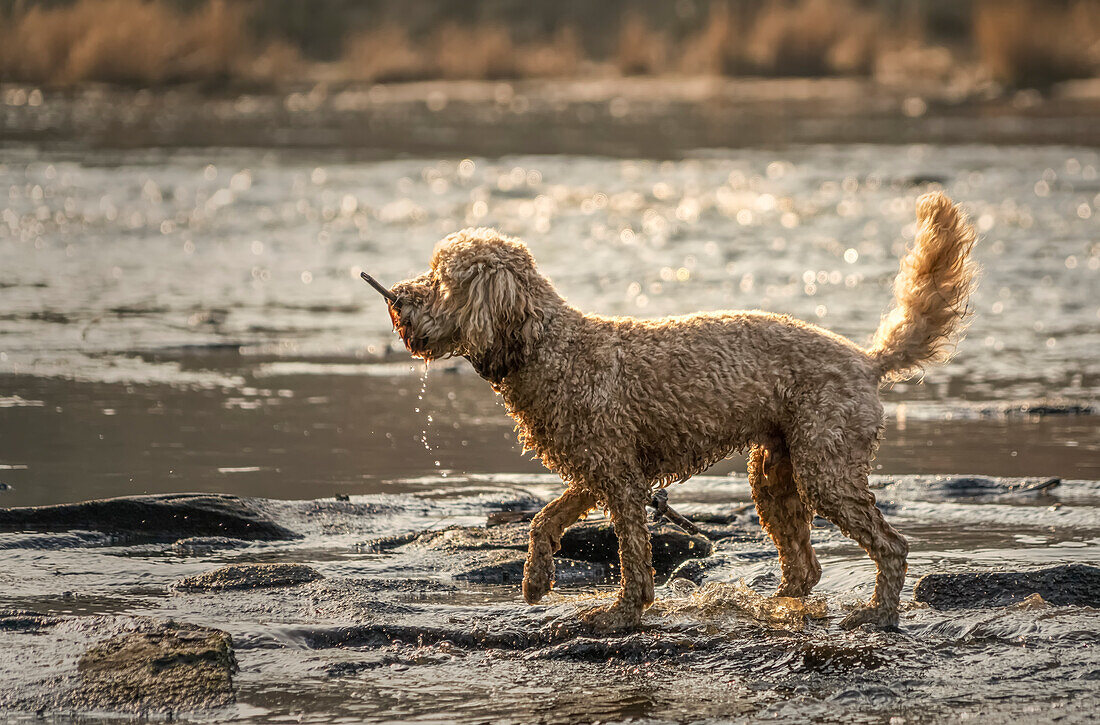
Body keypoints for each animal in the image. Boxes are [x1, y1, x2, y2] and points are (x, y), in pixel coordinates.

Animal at [380, 191, 981, 629]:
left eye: (441, 279)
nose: (397, 299)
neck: (547, 345)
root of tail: (866, 360)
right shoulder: (599, 469)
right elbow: (543, 518)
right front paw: (535, 579)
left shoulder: (619, 480)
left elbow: (632, 555)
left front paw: (622, 613)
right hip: (775, 474)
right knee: (805, 566)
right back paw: (775, 604)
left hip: (825, 469)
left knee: (892, 546)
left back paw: (877, 614)